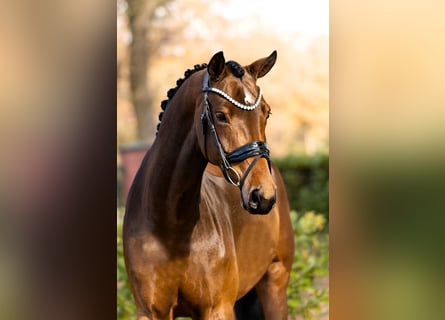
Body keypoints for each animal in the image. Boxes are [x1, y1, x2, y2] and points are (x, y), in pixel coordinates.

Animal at [123, 51, 294, 318]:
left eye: (266, 113)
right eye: (222, 116)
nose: (263, 196)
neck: (170, 225)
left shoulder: (217, 309)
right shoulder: (150, 312)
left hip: (275, 281)